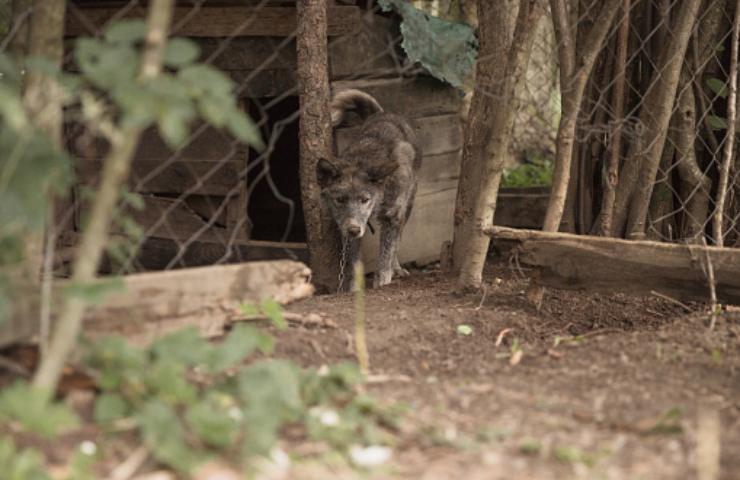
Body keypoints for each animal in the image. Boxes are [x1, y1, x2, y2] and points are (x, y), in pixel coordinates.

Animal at [316, 89, 422, 288]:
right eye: (339, 200)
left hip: (407, 207)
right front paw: (354, 288)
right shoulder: (347, 227)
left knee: (397, 241)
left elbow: (386, 255)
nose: (354, 230)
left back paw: (397, 269)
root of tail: (382, 113)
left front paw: (382, 283)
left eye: (365, 199)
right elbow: (353, 263)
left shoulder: (393, 216)